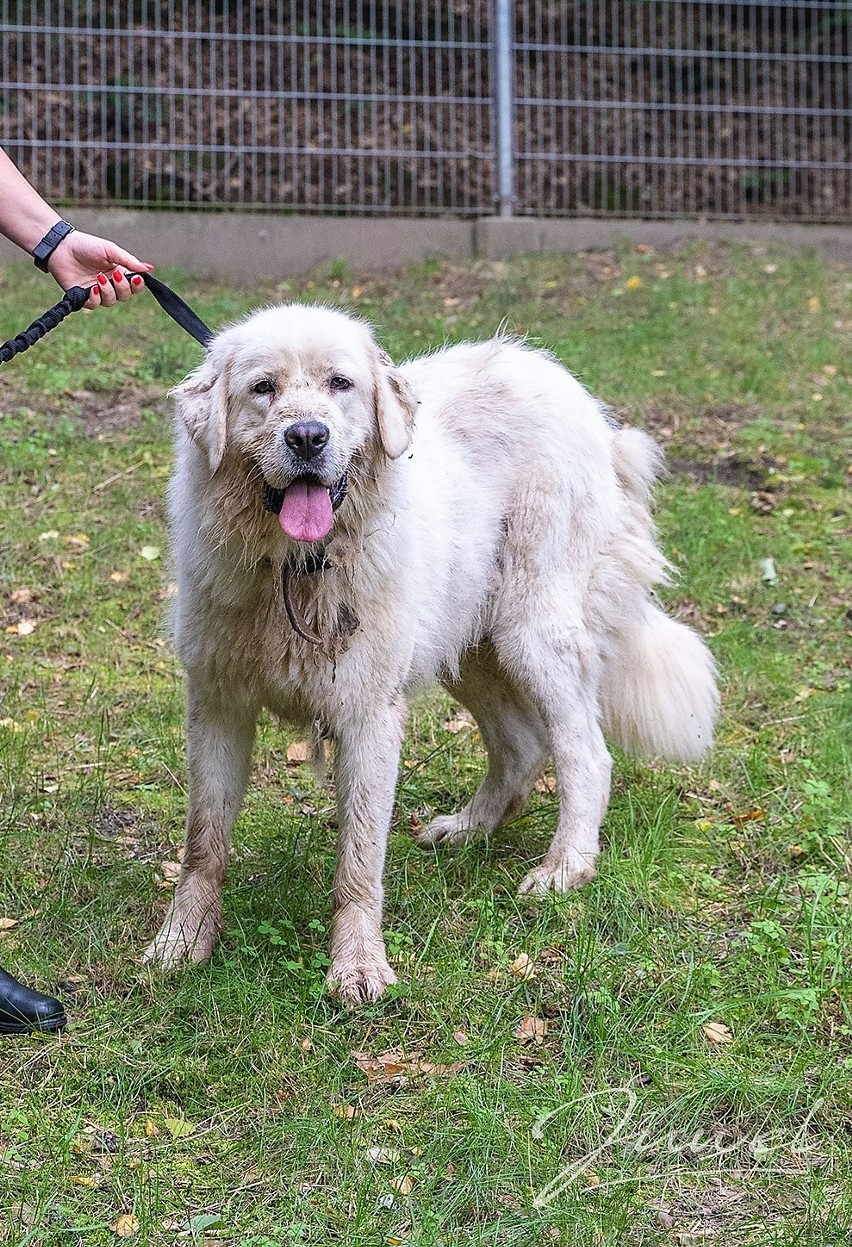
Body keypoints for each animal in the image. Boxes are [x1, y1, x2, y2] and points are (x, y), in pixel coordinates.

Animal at [144, 301, 718, 1002]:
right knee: (520, 746)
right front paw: (183, 940)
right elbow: (205, 840)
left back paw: (564, 868)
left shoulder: (368, 714)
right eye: (263, 389)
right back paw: (468, 828)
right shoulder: (219, 699)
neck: (297, 568)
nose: (307, 437)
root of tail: (580, 401)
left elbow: (360, 859)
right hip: (468, 643)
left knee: (586, 753)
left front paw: (358, 966)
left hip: (533, 632)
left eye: (340, 384)